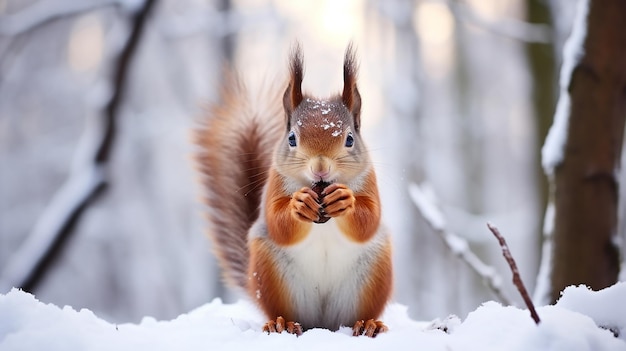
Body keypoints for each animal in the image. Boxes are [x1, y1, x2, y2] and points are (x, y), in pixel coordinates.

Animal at [194, 43, 390, 338]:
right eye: (292, 138)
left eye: (350, 139)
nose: (320, 168)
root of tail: (323, 322)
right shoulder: (274, 183)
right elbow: (278, 223)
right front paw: (299, 204)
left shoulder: (369, 181)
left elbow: (369, 219)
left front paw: (346, 201)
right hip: (271, 276)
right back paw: (281, 323)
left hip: (373, 277)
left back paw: (367, 324)